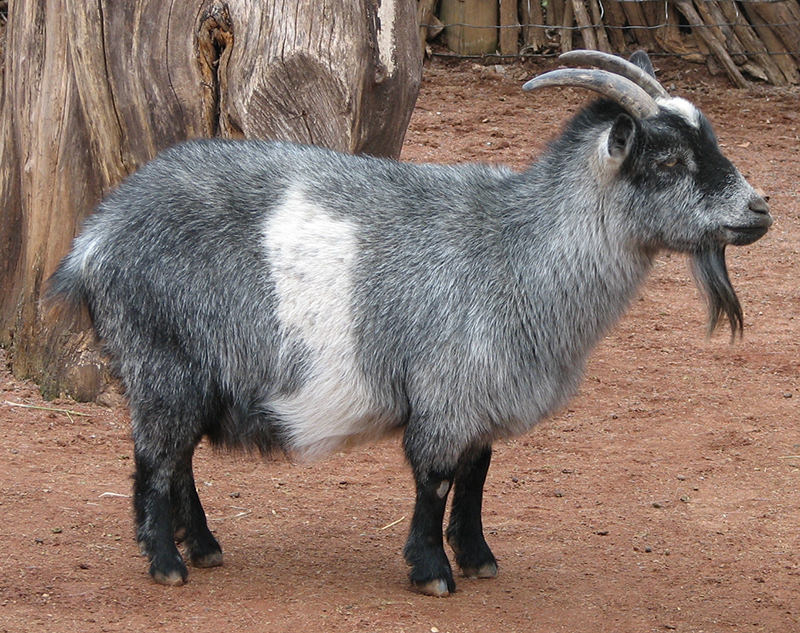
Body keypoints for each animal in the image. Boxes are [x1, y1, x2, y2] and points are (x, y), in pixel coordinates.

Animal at [48, 51, 771, 596]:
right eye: (667, 161)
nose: (759, 209)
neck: (516, 248)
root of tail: (95, 239)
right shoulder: (447, 391)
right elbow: (436, 479)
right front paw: (432, 571)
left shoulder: (482, 396)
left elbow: (477, 475)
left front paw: (478, 557)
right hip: (160, 362)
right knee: (155, 458)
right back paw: (166, 562)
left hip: (192, 374)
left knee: (180, 457)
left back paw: (202, 546)